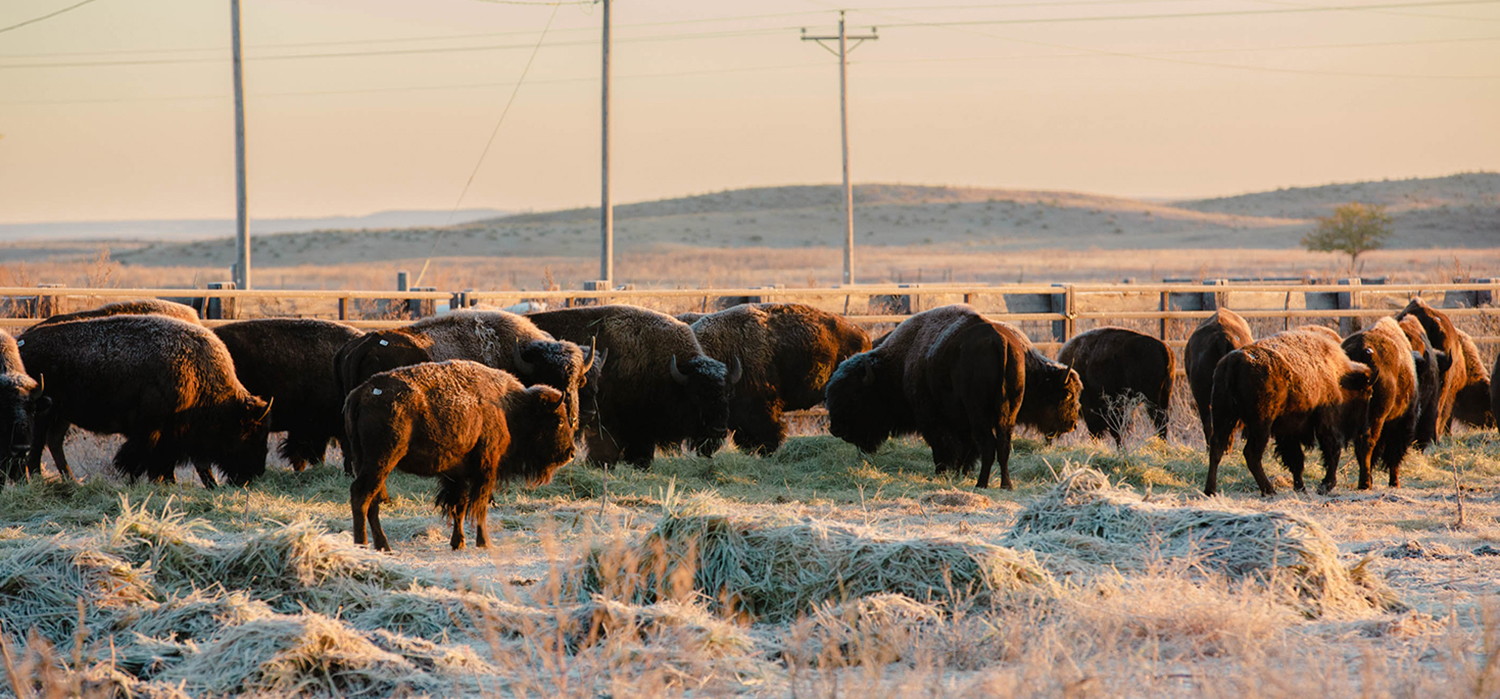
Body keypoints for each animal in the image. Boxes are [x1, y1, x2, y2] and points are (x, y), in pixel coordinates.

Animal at [18, 315, 272, 487]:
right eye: (249, 433)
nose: (256, 472)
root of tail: (22, 341)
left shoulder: (172, 437)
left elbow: (167, 463)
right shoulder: (151, 431)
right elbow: (139, 459)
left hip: (62, 415)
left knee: (53, 442)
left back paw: (70, 480)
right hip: (45, 413)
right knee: (38, 443)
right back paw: (37, 478)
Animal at [345, 360, 574, 551]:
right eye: (558, 421)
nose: (571, 453)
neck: (510, 407)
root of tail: (361, 392)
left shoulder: (457, 475)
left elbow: (459, 507)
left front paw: (459, 543)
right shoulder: (486, 468)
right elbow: (480, 506)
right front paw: (484, 543)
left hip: (368, 462)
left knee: (372, 500)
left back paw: (382, 546)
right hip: (383, 460)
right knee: (361, 495)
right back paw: (363, 544)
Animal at [825, 304, 1081, 489]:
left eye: (853, 395)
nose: (835, 428)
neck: (901, 361)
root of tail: (1002, 342)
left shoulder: (932, 420)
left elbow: (943, 447)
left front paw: (943, 472)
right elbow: (967, 449)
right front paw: (960, 472)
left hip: (979, 413)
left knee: (988, 444)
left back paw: (981, 484)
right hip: (1004, 416)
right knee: (1002, 445)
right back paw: (1004, 485)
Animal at [1205, 329, 1376, 496]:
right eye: (1367, 392)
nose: (1364, 429)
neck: (1338, 375)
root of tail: (1235, 360)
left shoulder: (1288, 431)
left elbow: (1296, 460)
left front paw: (1301, 488)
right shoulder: (1325, 422)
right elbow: (1332, 450)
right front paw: (1325, 485)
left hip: (1224, 416)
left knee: (1216, 448)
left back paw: (1210, 491)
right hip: (1260, 424)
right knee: (1251, 453)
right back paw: (1269, 491)